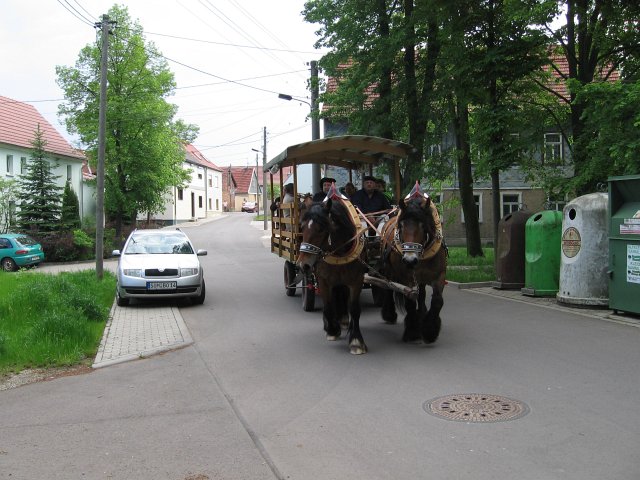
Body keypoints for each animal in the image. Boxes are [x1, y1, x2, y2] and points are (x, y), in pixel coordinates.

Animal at [298, 193, 368, 354]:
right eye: (302, 227)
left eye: (321, 229)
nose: (303, 265)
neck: (339, 251)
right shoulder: (323, 280)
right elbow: (328, 305)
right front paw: (332, 329)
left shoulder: (357, 280)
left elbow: (354, 308)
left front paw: (356, 340)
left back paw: (343, 319)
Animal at [378, 185, 448, 344]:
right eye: (402, 225)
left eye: (423, 225)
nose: (410, 260)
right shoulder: (405, 278)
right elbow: (409, 302)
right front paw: (412, 331)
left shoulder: (439, 275)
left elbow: (437, 301)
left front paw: (429, 331)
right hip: (388, 271)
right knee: (388, 289)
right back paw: (389, 314)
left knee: (421, 294)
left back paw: (421, 314)